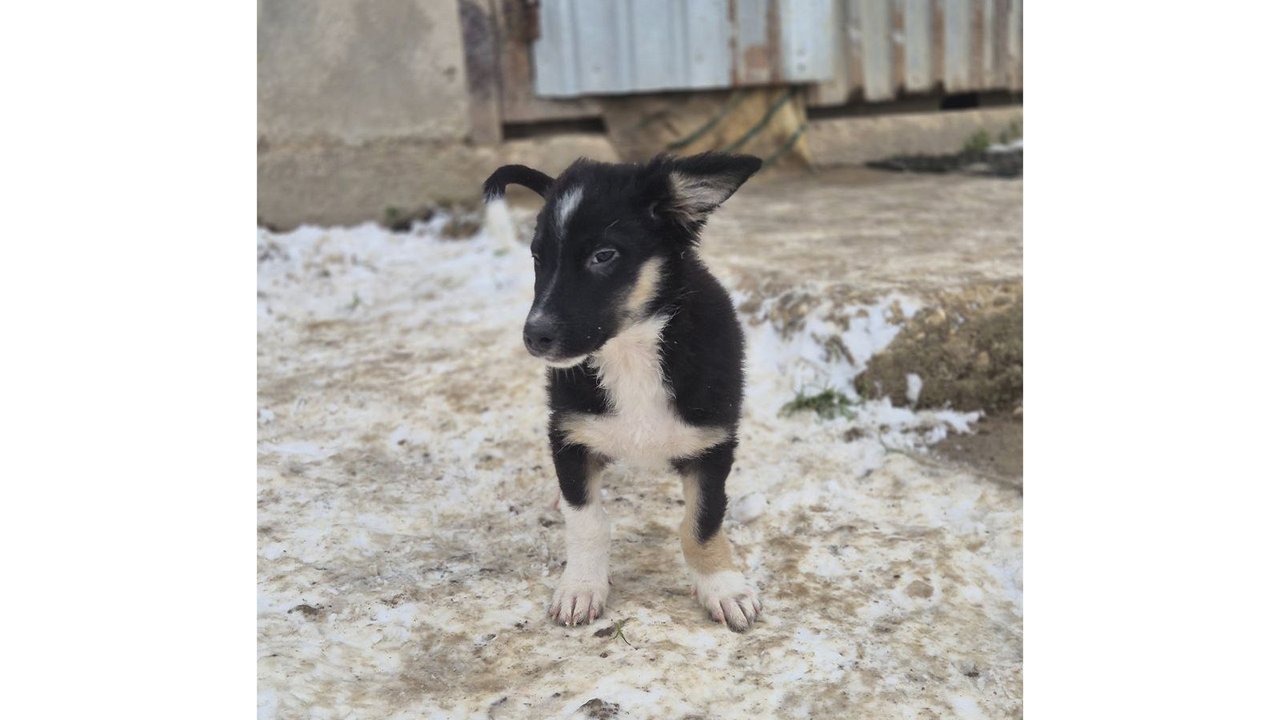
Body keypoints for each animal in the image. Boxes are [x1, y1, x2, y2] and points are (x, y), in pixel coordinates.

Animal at [481, 149, 757, 627]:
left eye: (603, 255)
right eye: (538, 257)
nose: (534, 337)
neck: (630, 352)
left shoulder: (713, 444)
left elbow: (702, 523)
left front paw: (723, 587)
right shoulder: (570, 435)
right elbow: (587, 521)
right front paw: (581, 587)